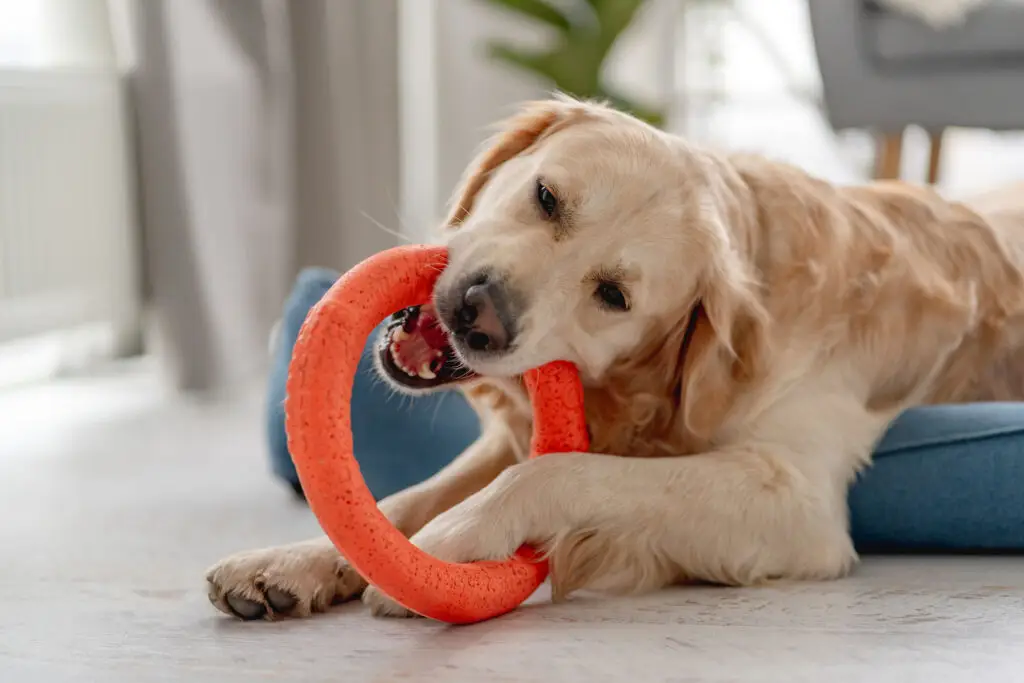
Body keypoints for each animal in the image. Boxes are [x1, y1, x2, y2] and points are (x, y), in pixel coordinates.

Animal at [203, 97, 1024, 626]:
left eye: (613, 295)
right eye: (545, 196)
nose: (478, 311)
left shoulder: (796, 500)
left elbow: (559, 472)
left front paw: (444, 546)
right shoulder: (502, 439)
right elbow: (401, 498)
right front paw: (289, 561)